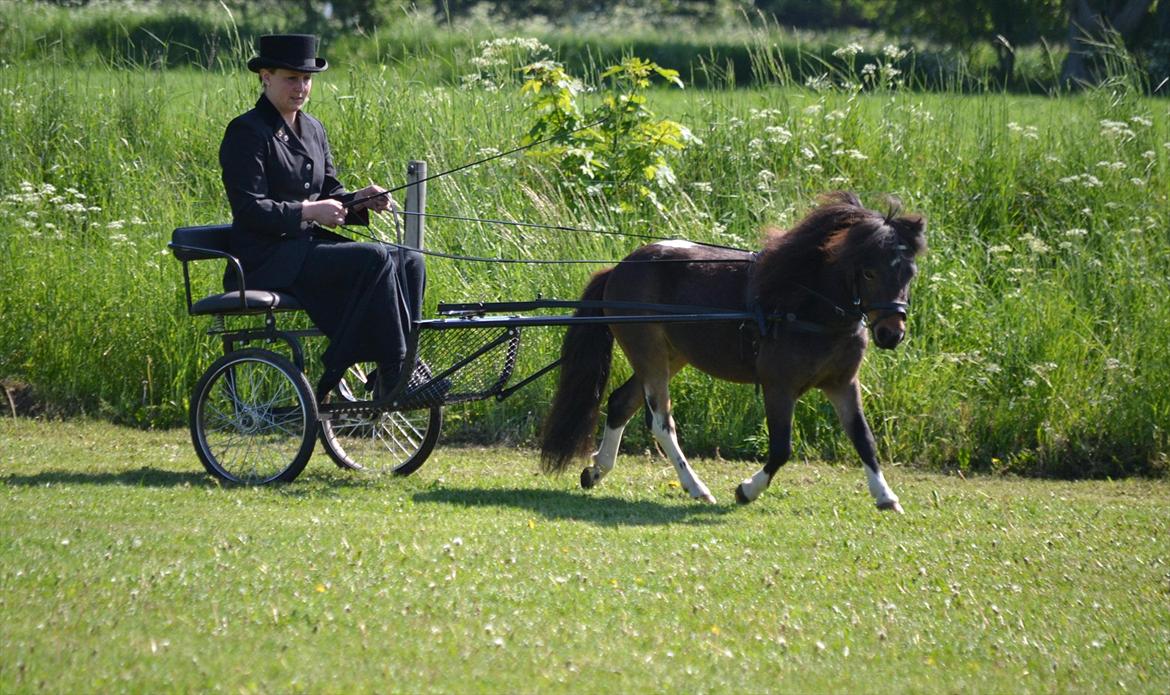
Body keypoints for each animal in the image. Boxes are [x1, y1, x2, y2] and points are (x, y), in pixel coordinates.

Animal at [535, 189, 921, 507]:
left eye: (910, 272)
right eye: (869, 272)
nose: (891, 333)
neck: (805, 304)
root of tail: (619, 268)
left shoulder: (842, 384)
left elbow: (864, 439)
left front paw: (886, 496)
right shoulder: (778, 386)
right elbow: (781, 448)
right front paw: (747, 490)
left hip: (671, 355)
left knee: (620, 403)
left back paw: (597, 470)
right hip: (649, 354)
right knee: (661, 422)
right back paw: (697, 487)